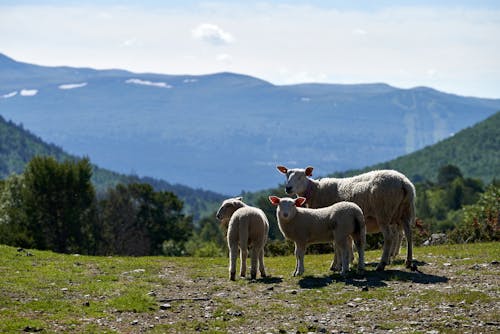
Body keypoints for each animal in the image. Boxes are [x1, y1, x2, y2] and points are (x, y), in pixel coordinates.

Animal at [278, 164, 414, 272]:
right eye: (287, 175)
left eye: (300, 177)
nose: (288, 188)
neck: (316, 191)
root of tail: (403, 182)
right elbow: (348, 243)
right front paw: (348, 261)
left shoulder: (332, 221)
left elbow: (336, 245)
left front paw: (336, 265)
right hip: (404, 212)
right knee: (408, 234)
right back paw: (408, 261)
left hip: (384, 212)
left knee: (390, 237)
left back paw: (382, 263)